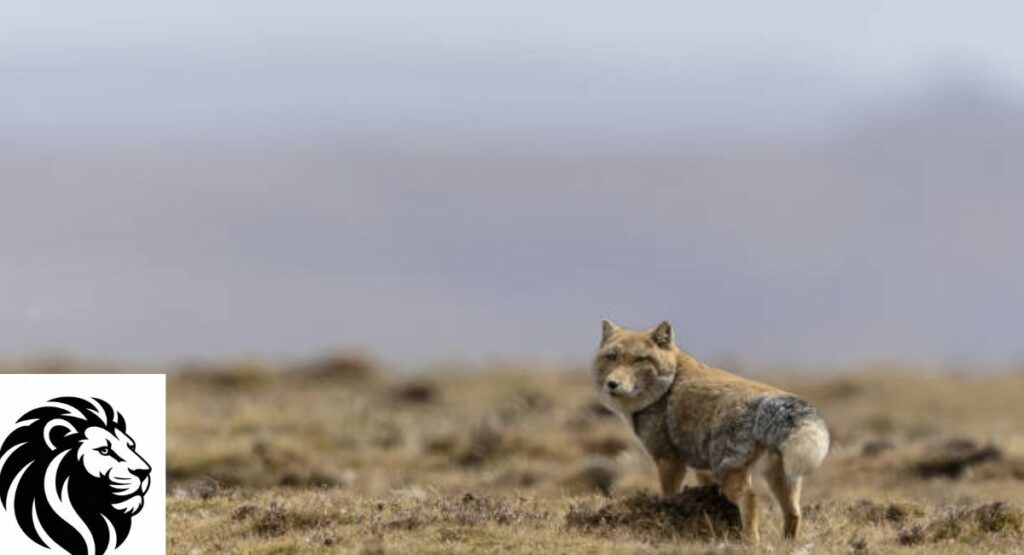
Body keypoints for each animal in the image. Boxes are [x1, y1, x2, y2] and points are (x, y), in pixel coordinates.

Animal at [592, 319, 829, 544]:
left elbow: (669, 496)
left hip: (729, 475)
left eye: (639, 360)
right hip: (781, 478)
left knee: (751, 499)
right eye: (612, 357)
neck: (667, 386)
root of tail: (768, 399)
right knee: (794, 513)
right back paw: (787, 544)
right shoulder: (701, 468)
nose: (612, 384)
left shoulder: (668, 460)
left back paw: (750, 542)